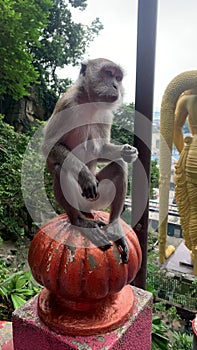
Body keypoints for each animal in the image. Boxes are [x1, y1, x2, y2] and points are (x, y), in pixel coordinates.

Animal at [42, 58, 137, 264]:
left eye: (118, 77)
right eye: (108, 73)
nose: (116, 86)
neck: (90, 102)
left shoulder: (106, 114)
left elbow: (100, 149)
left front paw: (128, 152)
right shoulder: (67, 103)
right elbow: (49, 147)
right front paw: (85, 175)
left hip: (96, 200)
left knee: (119, 167)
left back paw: (114, 226)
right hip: (82, 199)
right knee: (62, 168)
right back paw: (79, 221)